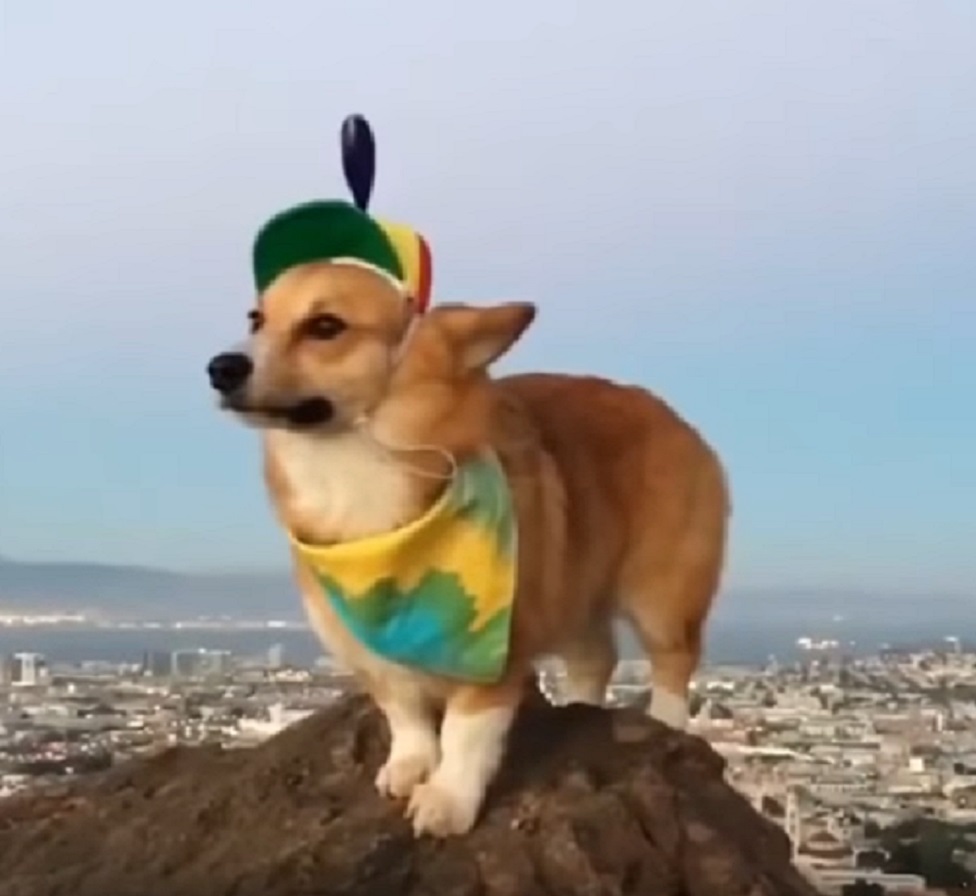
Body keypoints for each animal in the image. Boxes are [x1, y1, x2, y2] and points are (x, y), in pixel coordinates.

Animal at [210, 260, 732, 840]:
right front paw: (410, 765)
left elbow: (465, 734)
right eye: (256, 319)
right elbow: (405, 713)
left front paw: (447, 800)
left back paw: (665, 725)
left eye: (326, 326)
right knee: (596, 657)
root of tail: (673, 415)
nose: (220, 368)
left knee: (673, 661)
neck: (354, 464)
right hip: (573, 583)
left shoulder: (498, 652)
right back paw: (579, 710)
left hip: (659, 596)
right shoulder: (371, 650)